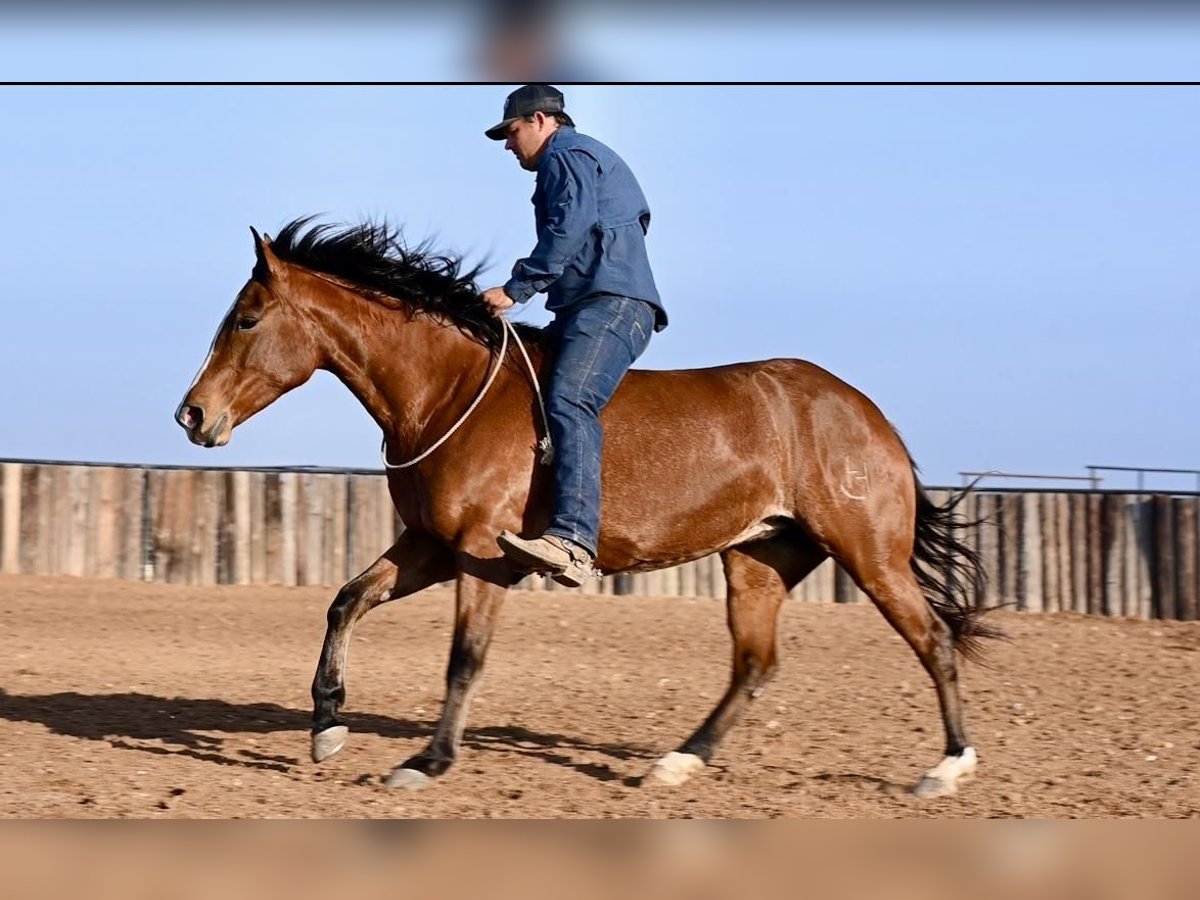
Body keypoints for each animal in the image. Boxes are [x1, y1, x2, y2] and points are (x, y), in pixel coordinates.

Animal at [175, 222, 1003, 801]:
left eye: (246, 319)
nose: (192, 414)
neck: (449, 392)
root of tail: (866, 413)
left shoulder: (481, 555)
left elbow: (465, 658)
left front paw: (428, 761)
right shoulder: (430, 546)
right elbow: (346, 602)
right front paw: (327, 727)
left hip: (869, 553)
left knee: (932, 640)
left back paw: (948, 768)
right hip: (758, 558)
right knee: (755, 663)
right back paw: (678, 762)